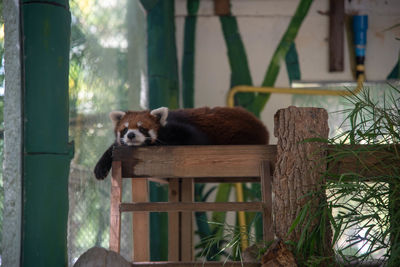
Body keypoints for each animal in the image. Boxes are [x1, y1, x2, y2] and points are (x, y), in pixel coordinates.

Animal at [94, 107, 268, 180]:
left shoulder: (183, 129)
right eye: (124, 129)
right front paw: (100, 168)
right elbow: (114, 146)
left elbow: (196, 139)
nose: (131, 135)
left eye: (142, 128)